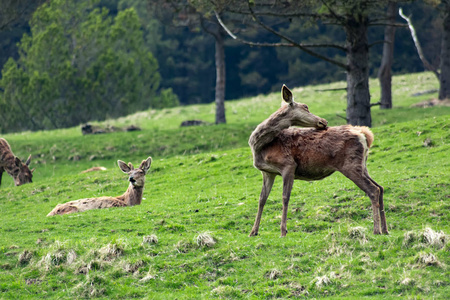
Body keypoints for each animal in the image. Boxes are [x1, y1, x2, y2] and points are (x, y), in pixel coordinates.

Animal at [248, 85, 388, 238]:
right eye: (306, 107)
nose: (324, 121)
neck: (260, 147)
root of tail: (364, 134)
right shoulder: (267, 172)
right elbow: (262, 199)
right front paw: (253, 231)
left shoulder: (288, 165)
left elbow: (285, 197)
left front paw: (283, 231)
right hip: (362, 165)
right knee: (380, 187)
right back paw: (385, 229)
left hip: (350, 165)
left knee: (373, 190)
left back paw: (376, 230)